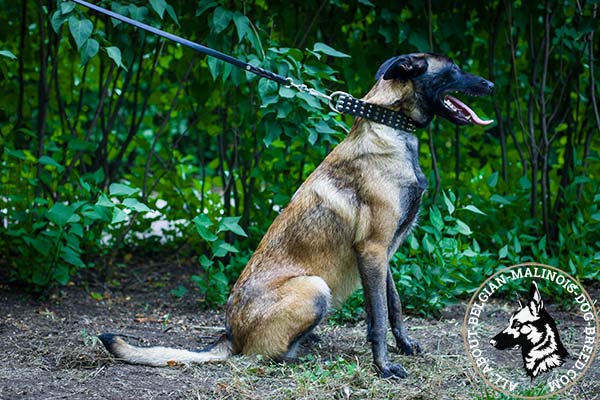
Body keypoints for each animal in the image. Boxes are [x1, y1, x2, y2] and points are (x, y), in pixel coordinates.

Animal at [97, 53, 492, 378]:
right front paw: (383, 366)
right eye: (453, 69)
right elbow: (377, 317)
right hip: (314, 287)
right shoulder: (373, 249)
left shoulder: (385, 252)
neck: (390, 127)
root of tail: (230, 335)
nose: (490, 85)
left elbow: (392, 306)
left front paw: (405, 346)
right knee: (262, 354)